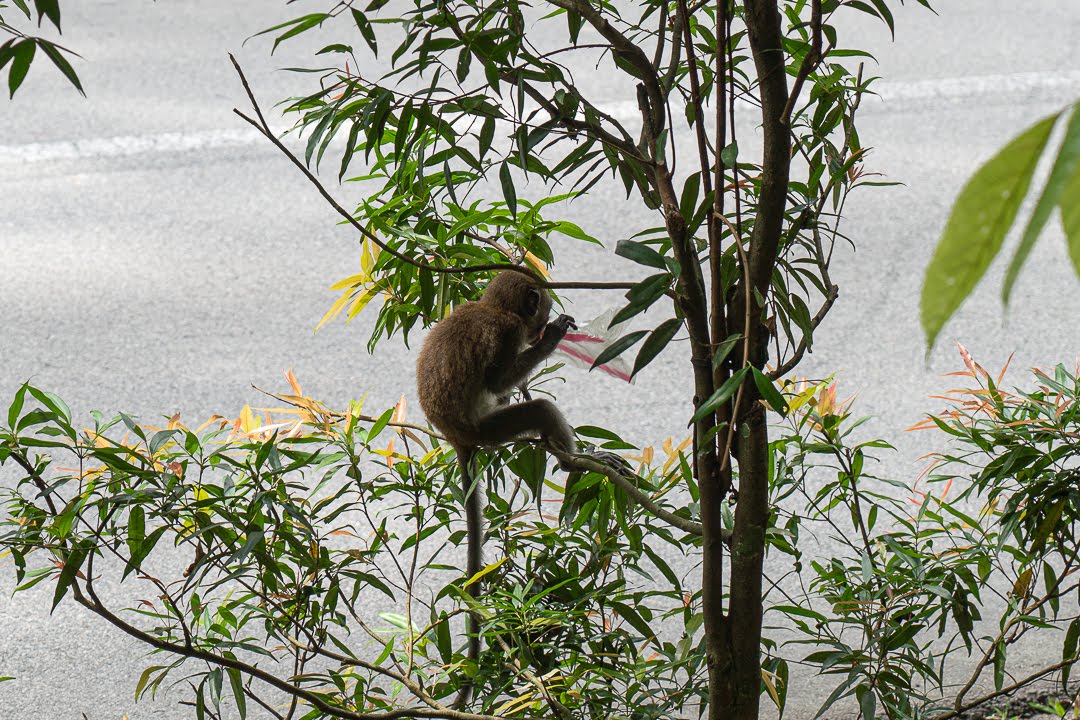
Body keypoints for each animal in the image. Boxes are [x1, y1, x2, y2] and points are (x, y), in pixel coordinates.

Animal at [416, 269, 578, 703]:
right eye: (541, 310)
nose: (541, 325)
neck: (494, 308)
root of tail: (457, 436)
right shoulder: (507, 333)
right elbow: (496, 378)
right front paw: (550, 338)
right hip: (488, 429)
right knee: (539, 409)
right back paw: (571, 462)